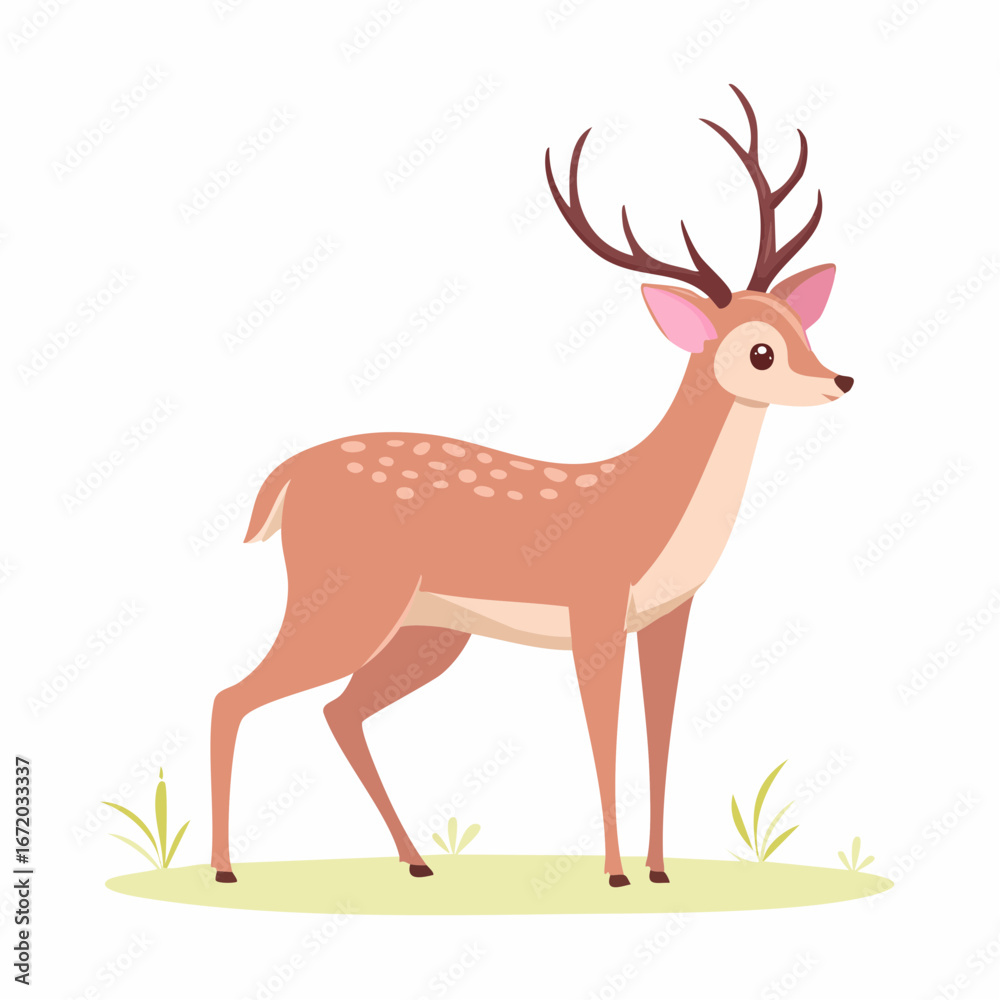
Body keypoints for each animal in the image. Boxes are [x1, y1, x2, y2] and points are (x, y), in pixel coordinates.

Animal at [210, 85, 852, 888]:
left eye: (800, 325)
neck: (653, 505)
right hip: (345, 597)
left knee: (338, 711)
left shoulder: (670, 615)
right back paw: (225, 870)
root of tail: (286, 478)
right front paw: (615, 874)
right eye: (760, 351)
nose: (841, 380)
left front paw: (660, 871)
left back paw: (417, 862)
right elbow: (604, 735)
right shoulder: (594, 607)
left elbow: (661, 733)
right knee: (233, 697)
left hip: (427, 629)